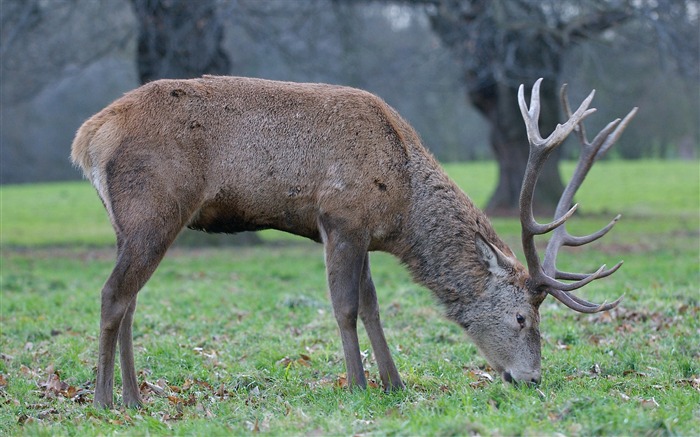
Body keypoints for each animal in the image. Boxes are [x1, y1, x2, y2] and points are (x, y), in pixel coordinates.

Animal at [69, 74, 636, 406]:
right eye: (522, 318)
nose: (532, 378)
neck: (402, 200)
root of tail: (88, 138)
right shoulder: (340, 218)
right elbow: (343, 306)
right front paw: (360, 386)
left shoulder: (364, 232)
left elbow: (371, 304)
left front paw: (395, 382)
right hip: (154, 207)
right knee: (112, 294)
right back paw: (103, 399)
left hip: (129, 223)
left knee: (129, 300)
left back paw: (134, 396)